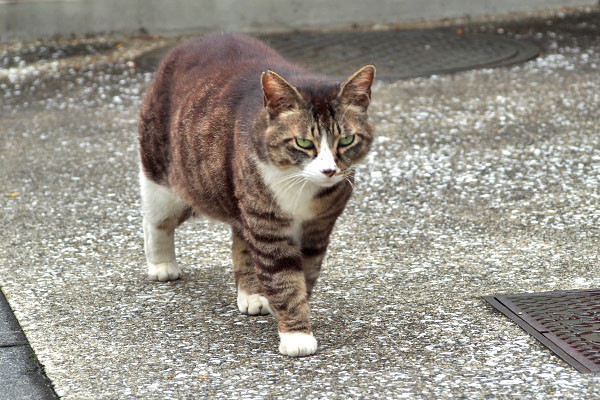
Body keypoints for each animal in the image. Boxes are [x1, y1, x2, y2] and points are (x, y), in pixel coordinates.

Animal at [140, 32, 376, 356]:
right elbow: (282, 274)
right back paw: (162, 264)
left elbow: (305, 272)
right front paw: (296, 335)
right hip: (165, 174)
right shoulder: (266, 223)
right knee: (156, 219)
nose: (329, 171)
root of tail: (195, 41)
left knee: (241, 243)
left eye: (347, 139)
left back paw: (251, 294)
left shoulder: (318, 227)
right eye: (304, 143)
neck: (300, 184)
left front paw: (288, 310)